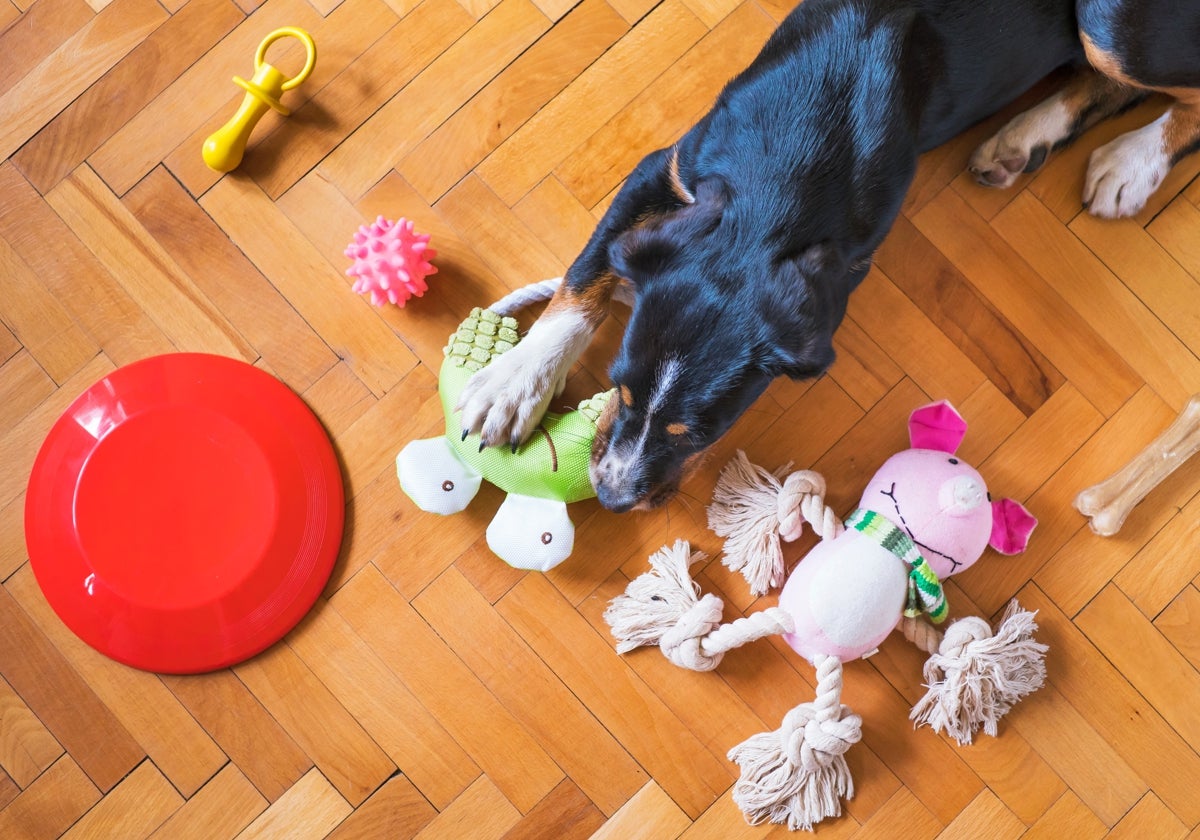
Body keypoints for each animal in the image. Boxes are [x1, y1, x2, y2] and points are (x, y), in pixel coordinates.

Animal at [456, 0, 1200, 511]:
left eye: (696, 431)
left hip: (1111, 23)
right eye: (620, 385)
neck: (800, 151)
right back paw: (1026, 137)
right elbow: (585, 275)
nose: (610, 496)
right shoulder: (664, 169)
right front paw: (512, 384)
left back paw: (1131, 162)